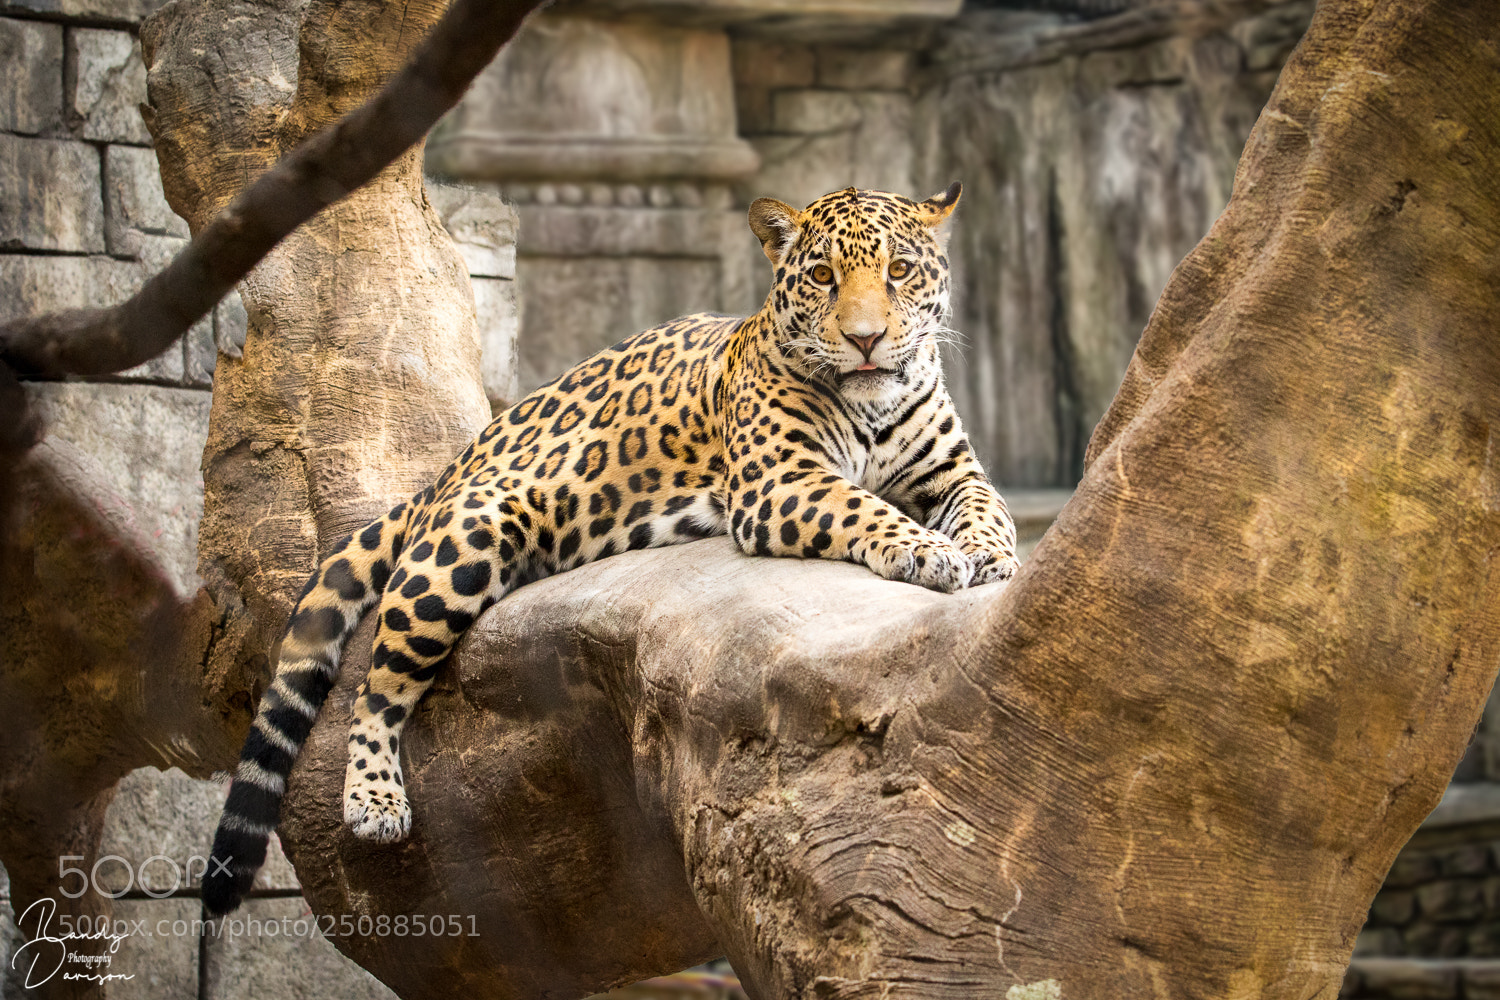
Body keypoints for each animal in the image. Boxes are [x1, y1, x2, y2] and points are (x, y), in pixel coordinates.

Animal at [202, 182, 1019, 916]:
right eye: (821, 276)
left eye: (901, 270)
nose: (866, 339)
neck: (874, 403)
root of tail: (447, 469)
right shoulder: (778, 482)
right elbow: (861, 505)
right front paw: (929, 553)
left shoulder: (956, 471)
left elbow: (992, 510)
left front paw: (991, 558)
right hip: (462, 546)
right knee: (377, 687)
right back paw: (373, 799)